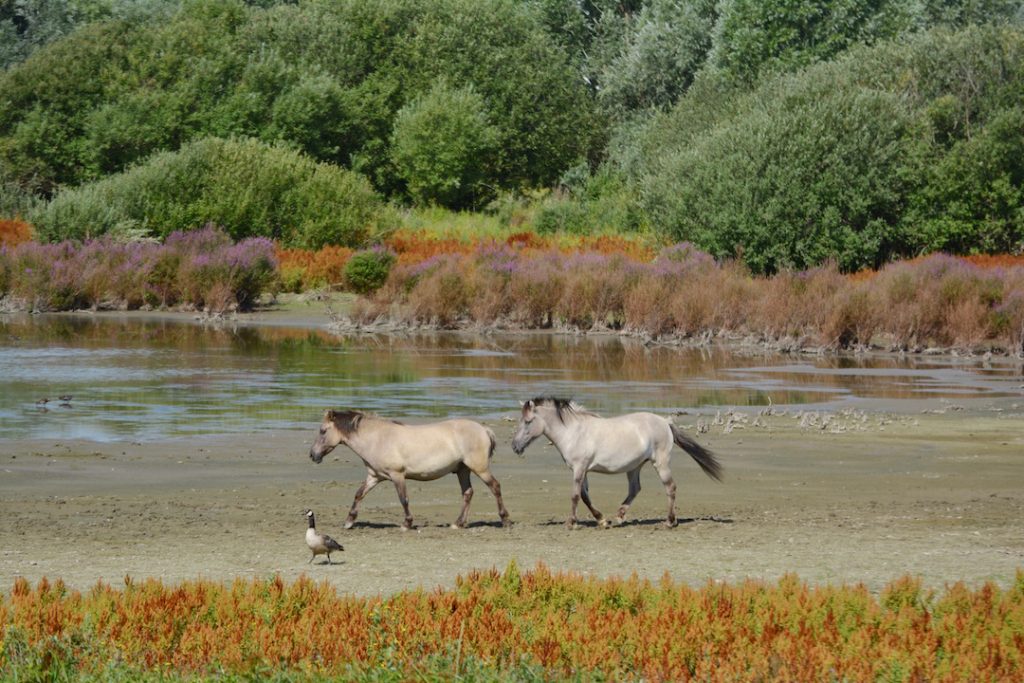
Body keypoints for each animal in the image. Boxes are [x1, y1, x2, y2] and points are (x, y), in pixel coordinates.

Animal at [305, 409, 509, 532]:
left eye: (323, 431)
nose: (313, 455)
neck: (377, 439)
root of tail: (483, 429)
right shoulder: (374, 477)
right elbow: (358, 494)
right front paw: (349, 522)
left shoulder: (397, 475)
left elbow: (403, 499)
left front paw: (407, 523)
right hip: (463, 470)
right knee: (468, 493)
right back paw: (458, 523)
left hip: (479, 468)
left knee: (495, 487)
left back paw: (504, 520)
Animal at [509, 401, 720, 528]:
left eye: (528, 422)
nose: (515, 446)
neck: (573, 431)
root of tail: (665, 422)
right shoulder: (583, 470)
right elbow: (585, 496)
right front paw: (602, 520)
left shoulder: (579, 468)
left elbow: (575, 495)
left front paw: (572, 523)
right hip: (634, 467)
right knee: (635, 489)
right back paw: (619, 517)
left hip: (660, 463)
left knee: (670, 487)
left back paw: (670, 522)